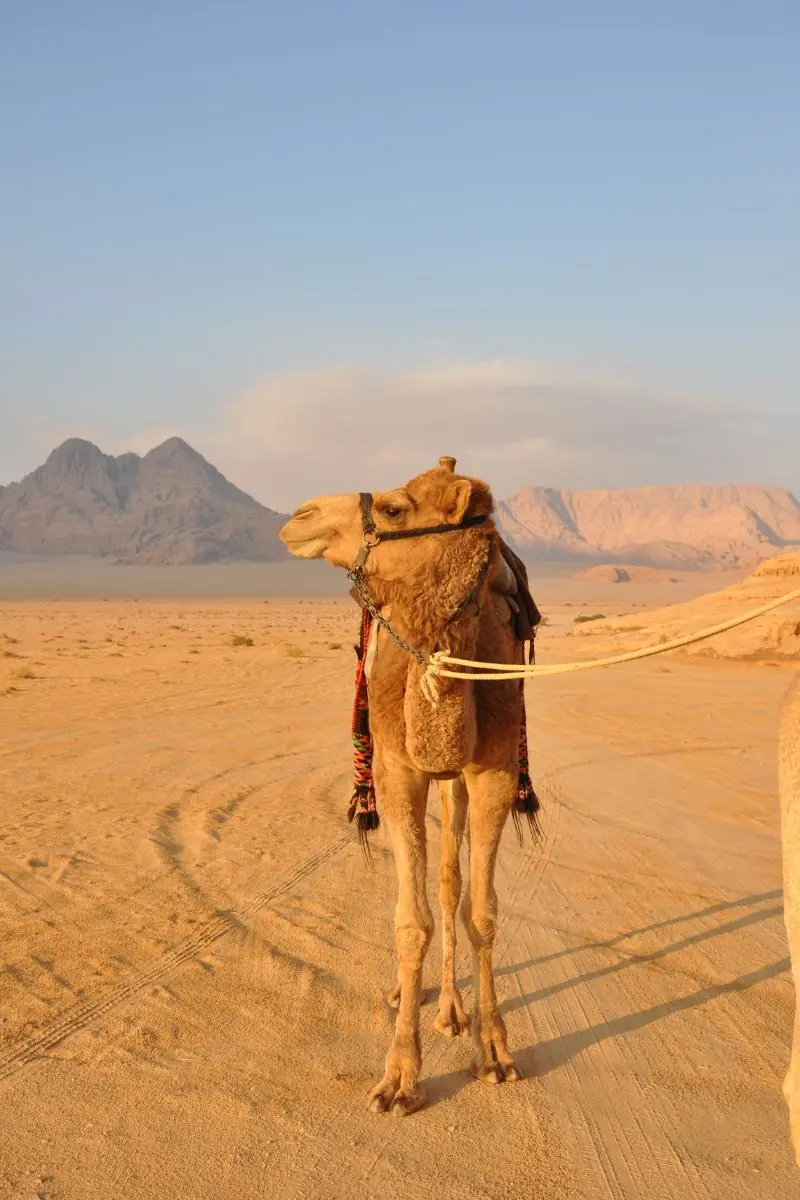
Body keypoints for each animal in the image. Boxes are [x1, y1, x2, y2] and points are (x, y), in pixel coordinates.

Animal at [279, 457, 537, 1115]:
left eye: (395, 509)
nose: (299, 517)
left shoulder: (494, 771)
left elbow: (480, 911)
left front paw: (493, 1052)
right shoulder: (397, 771)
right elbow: (409, 922)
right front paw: (398, 1077)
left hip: (457, 783)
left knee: (448, 881)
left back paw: (450, 1009)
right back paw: (406, 994)